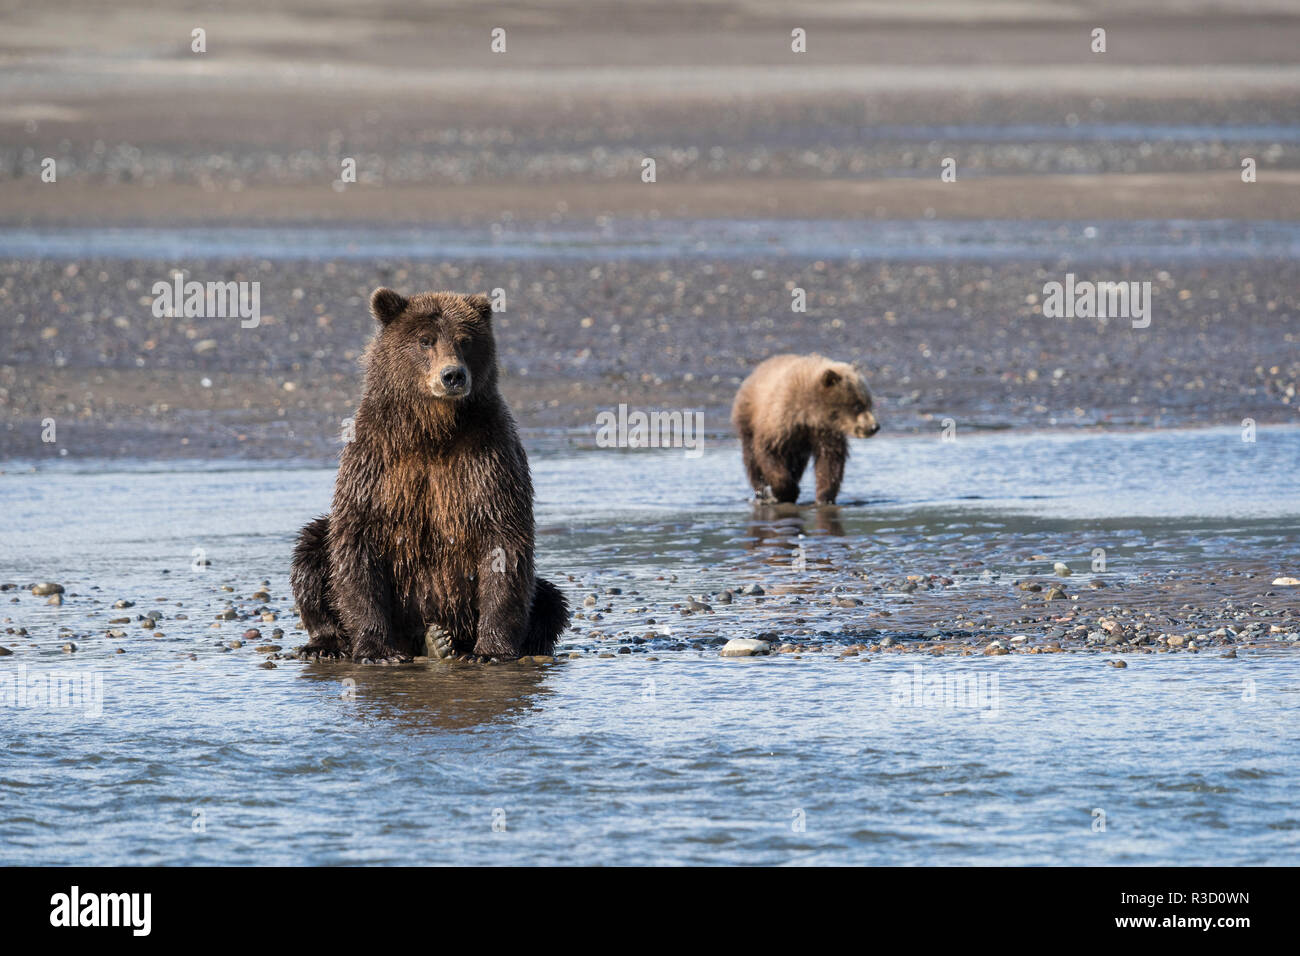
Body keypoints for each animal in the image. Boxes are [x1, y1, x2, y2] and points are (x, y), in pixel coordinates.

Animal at [295, 287, 569, 660]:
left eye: (465, 340)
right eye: (425, 340)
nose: (453, 375)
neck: (432, 430)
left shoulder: (486, 457)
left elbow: (503, 539)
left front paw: (490, 650)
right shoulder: (376, 460)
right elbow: (357, 538)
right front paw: (377, 650)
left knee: (550, 601)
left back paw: (441, 642)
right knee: (311, 550)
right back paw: (327, 645)